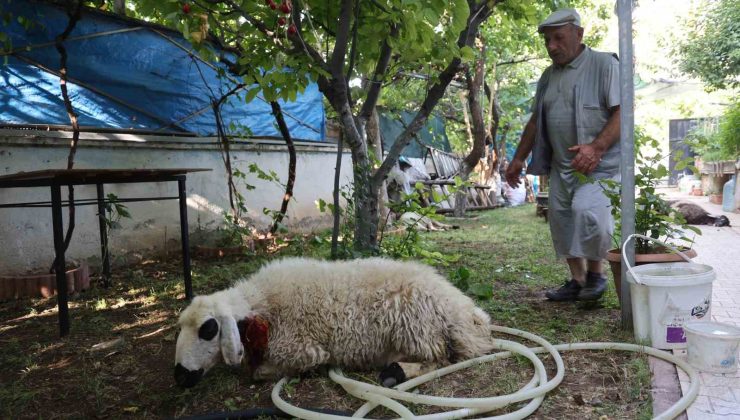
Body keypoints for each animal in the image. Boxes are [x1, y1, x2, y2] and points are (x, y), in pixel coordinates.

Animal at [176, 258, 494, 388]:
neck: (263, 303)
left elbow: (260, 373)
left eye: (208, 329)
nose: (180, 375)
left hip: (416, 328)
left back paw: (396, 373)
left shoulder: (302, 350)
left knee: (440, 359)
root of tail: (465, 311)